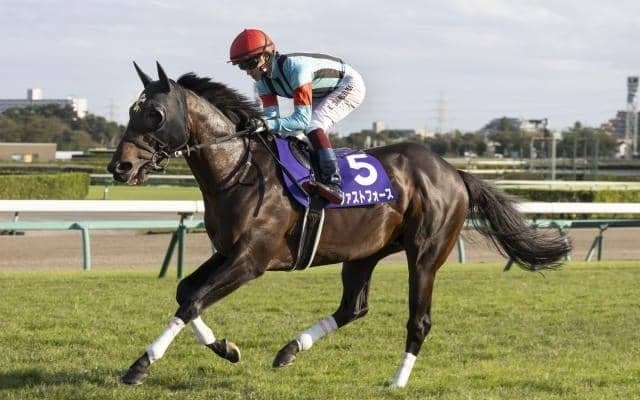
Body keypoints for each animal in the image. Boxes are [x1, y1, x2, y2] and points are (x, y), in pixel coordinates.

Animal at [107, 62, 571, 388]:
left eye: (154, 114)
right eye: (132, 111)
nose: (119, 167)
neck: (239, 171)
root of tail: (454, 172)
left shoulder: (251, 260)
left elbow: (193, 301)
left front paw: (139, 365)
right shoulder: (227, 252)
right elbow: (187, 293)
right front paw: (227, 348)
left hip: (425, 256)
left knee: (418, 321)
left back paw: (397, 381)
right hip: (363, 254)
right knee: (354, 307)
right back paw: (290, 349)